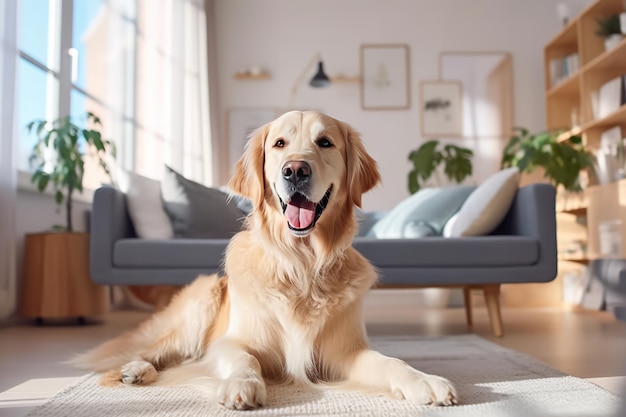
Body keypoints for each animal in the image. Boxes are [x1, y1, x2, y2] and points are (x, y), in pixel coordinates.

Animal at [73, 110, 456, 410]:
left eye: (325, 142)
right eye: (279, 144)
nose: (295, 171)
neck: (301, 263)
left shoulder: (345, 352)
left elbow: (391, 361)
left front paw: (426, 380)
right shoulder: (231, 343)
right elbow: (244, 358)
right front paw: (242, 385)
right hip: (201, 305)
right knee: (159, 351)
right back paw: (136, 369)